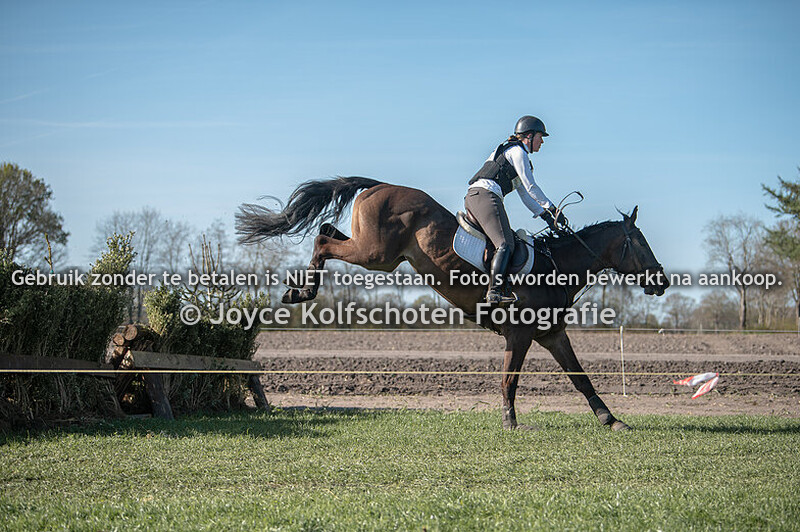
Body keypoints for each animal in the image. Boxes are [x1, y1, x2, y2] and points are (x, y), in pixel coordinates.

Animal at [236, 177, 670, 431]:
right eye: (641, 243)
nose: (662, 281)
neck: (554, 266)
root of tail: (380, 185)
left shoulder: (552, 335)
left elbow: (580, 377)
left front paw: (610, 419)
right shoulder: (520, 334)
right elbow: (509, 380)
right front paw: (510, 423)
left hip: (377, 251)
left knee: (326, 229)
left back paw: (300, 289)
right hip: (376, 253)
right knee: (323, 240)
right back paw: (301, 292)